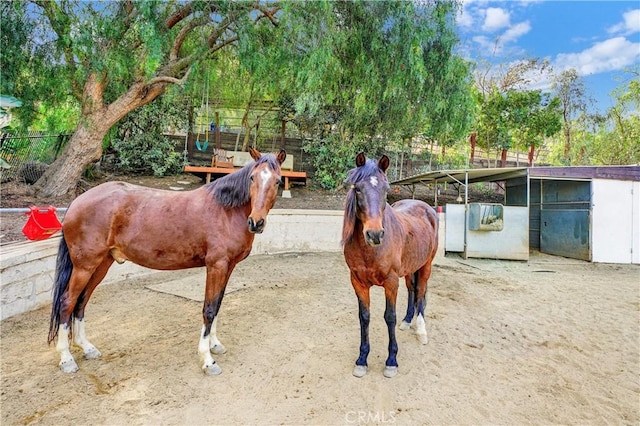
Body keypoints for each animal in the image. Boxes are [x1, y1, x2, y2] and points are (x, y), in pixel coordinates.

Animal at [50, 148, 288, 374]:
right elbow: (209, 309)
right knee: (67, 302)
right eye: (252, 178)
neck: (225, 210)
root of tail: (76, 203)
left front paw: (215, 345)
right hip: (84, 266)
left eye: (277, 181)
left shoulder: (228, 267)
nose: (256, 222)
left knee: (81, 301)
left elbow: (218, 304)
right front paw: (207, 359)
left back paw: (86, 347)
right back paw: (66, 358)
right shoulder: (216, 266)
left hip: (101, 265)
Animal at [340, 154, 440, 380]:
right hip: (410, 268)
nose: (375, 234)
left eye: (386, 189)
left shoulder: (391, 282)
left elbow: (389, 317)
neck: (371, 251)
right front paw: (362, 359)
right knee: (413, 290)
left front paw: (392, 361)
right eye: (358, 189)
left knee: (421, 291)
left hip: (426, 265)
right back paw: (408, 320)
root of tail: (426, 207)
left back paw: (421, 330)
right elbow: (364, 317)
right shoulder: (357, 282)